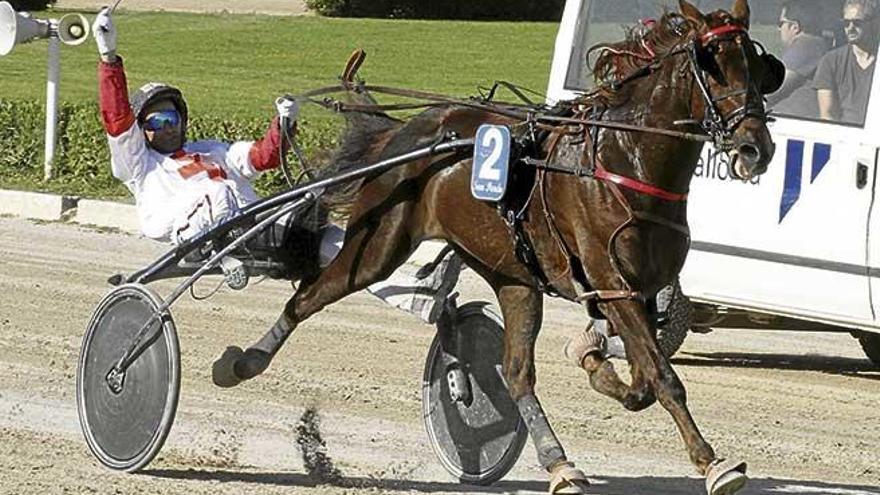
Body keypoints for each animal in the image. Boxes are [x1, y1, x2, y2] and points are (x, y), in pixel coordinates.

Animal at [215, 1, 784, 494]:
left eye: (758, 66)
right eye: (712, 66)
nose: (756, 148)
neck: (625, 160)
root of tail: (409, 131)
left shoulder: (640, 291)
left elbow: (642, 379)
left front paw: (594, 360)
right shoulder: (612, 282)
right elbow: (664, 378)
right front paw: (713, 464)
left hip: (513, 276)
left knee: (515, 373)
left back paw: (560, 464)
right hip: (376, 247)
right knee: (306, 297)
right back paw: (242, 362)